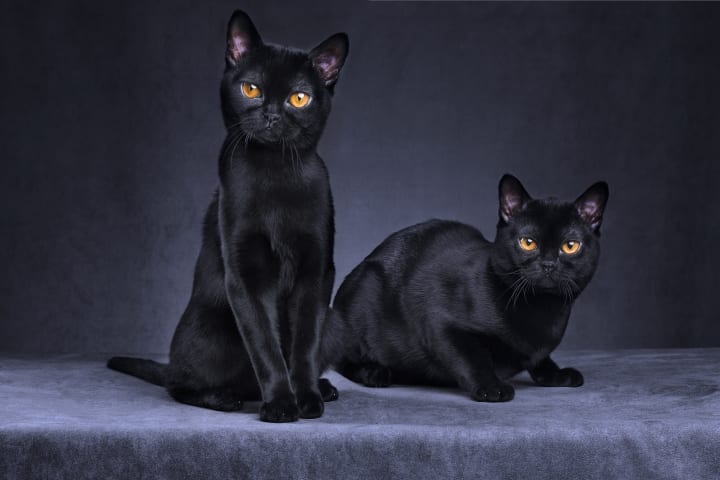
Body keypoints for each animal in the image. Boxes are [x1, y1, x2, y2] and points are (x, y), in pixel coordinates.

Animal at [108, 9, 350, 422]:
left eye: (299, 98)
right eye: (251, 89)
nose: (271, 115)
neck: (275, 172)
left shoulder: (317, 271)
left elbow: (303, 345)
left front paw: (306, 398)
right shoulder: (244, 275)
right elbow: (266, 347)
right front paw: (281, 404)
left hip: (334, 321)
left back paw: (323, 387)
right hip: (209, 330)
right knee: (179, 383)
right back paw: (222, 398)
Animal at [320, 173, 608, 402]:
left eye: (570, 246)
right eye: (528, 242)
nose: (548, 264)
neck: (542, 310)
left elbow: (539, 359)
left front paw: (556, 373)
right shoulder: (441, 324)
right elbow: (473, 357)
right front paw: (492, 387)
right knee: (343, 361)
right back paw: (375, 372)